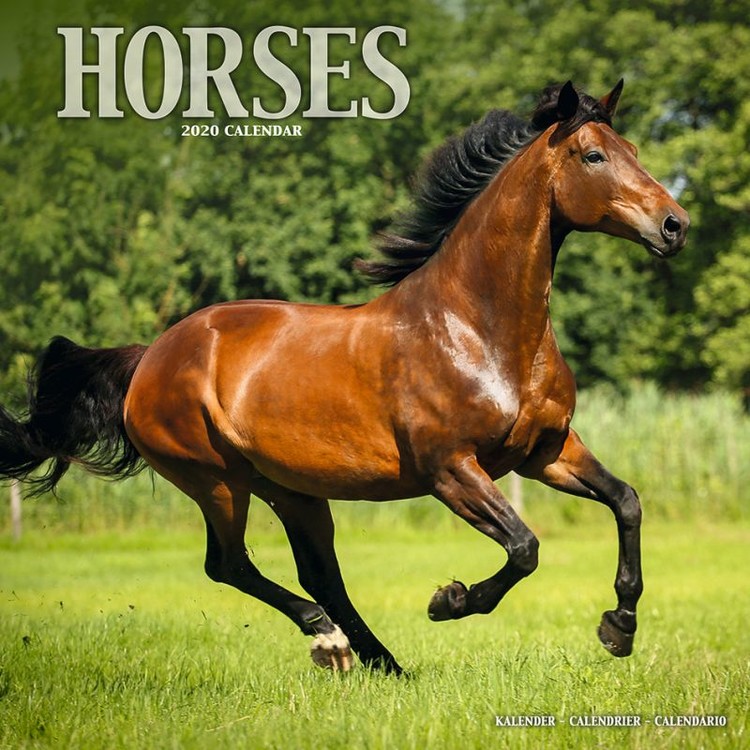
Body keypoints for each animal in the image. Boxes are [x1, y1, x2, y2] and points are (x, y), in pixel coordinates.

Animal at [0, 81, 688, 675]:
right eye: (594, 155)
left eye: (633, 150)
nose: (675, 225)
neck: (479, 330)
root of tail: (150, 357)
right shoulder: (451, 469)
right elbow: (524, 547)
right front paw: (449, 601)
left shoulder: (545, 452)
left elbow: (626, 501)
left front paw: (619, 628)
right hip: (215, 481)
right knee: (230, 565)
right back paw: (329, 640)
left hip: (290, 489)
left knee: (316, 573)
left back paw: (381, 663)